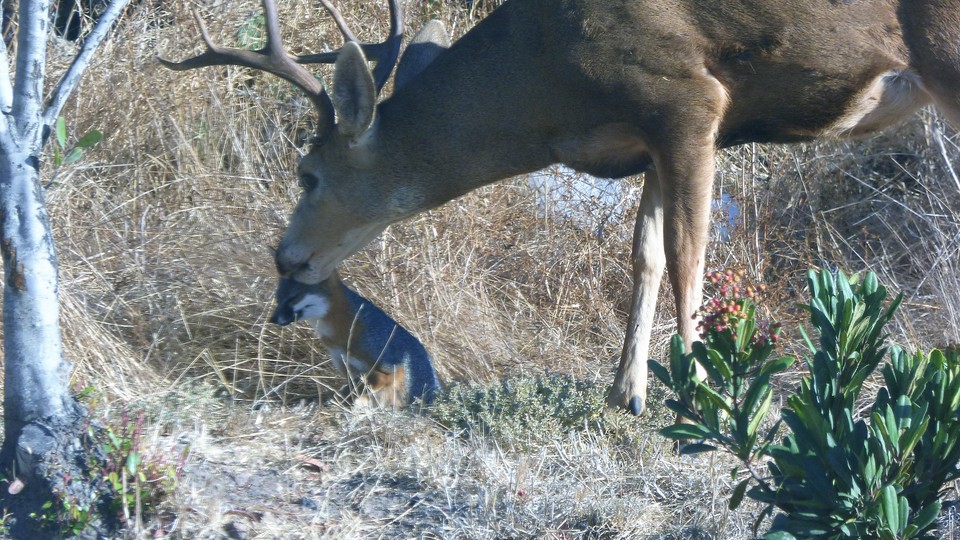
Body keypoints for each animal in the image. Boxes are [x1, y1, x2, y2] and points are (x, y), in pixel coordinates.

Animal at [266, 272, 438, 408]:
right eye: (278, 298)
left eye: (293, 298)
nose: (272, 319)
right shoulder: (346, 366)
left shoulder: (390, 365)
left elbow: (374, 382)